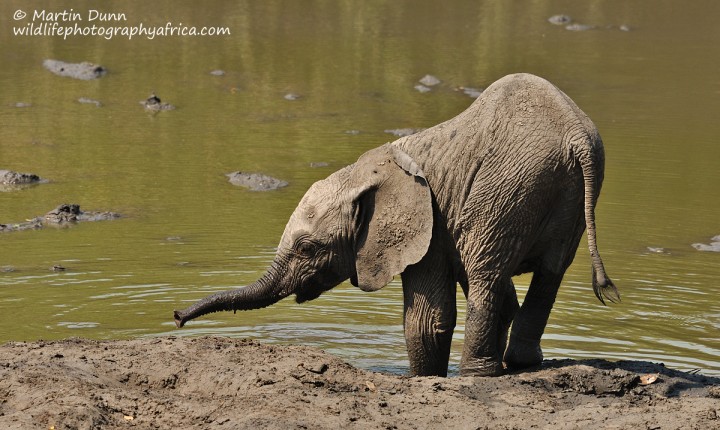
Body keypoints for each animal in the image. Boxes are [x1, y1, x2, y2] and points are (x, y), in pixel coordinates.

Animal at [174, 73, 620, 376]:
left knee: (486, 274)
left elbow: (427, 321)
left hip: (510, 188)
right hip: (562, 193)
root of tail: (577, 137)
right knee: (548, 272)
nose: (177, 316)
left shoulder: (429, 228)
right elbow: (503, 297)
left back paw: (476, 375)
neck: (366, 171)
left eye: (307, 249)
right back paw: (521, 364)